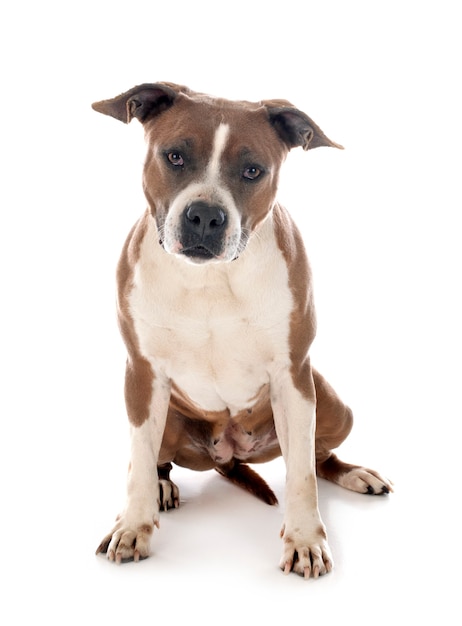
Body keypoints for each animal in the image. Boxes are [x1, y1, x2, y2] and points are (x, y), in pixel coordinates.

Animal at [92, 81, 392, 576]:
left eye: (253, 170)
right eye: (174, 156)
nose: (204, 216)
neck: (210, 279)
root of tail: (229, 455)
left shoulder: (293, 378)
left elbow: (302, 475)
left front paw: (305, 540)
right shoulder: (141, 373)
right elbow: (137, 463)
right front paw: (134, 526)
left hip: (332, 404)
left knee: (316, 456)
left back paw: (353, 473)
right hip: (167, 416)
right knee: (156, 460)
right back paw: (162, 487)